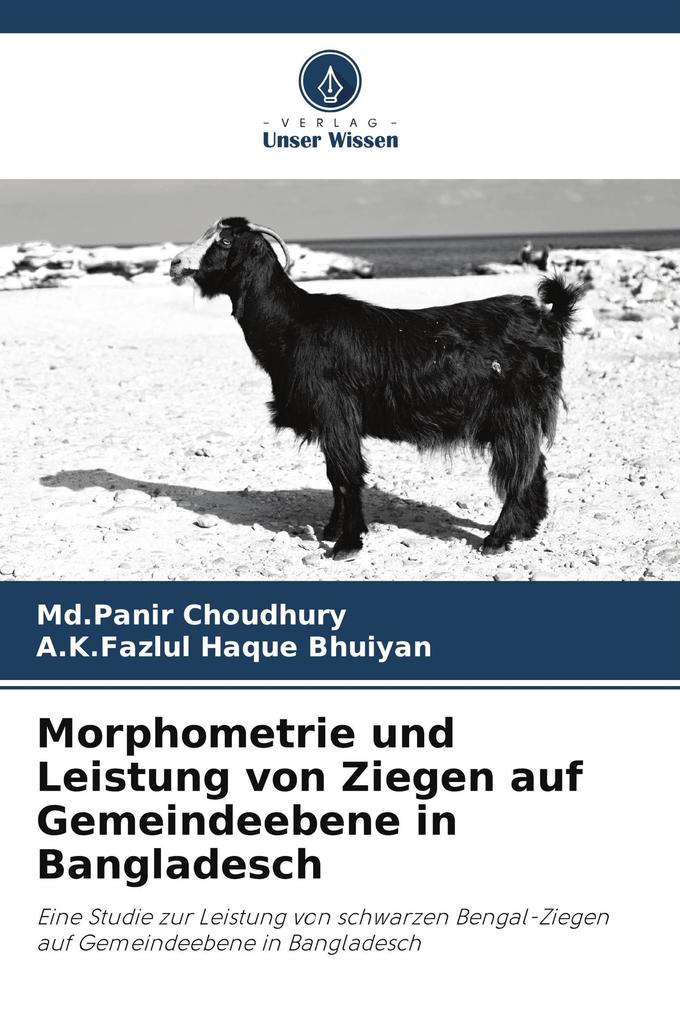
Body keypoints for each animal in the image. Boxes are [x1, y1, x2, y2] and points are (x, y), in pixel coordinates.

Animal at [170, 217, 581, 560]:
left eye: (225, 240)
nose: (175, 264)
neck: (294, 324)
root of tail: (548, 317)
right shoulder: (331, 422)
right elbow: (334, 477)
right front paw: (332, 529)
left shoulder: (337, 413)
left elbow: (345, 475)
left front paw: (346, 544)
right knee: (535, 465)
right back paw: (527, 530)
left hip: (514, 414)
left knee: (519, 470)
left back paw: (497, 538)